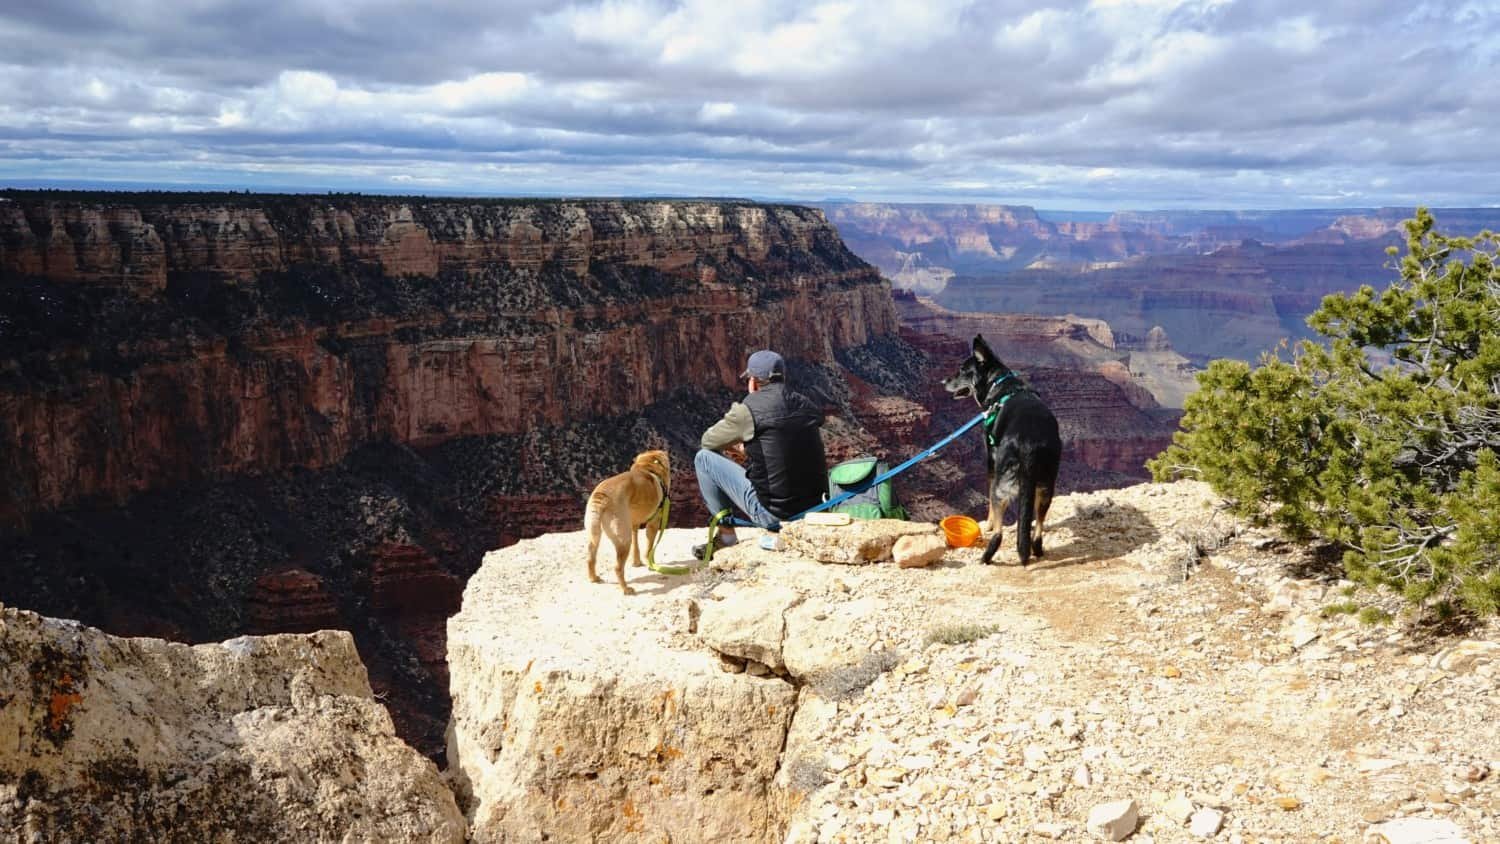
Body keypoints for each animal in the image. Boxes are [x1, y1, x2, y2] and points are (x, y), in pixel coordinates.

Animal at [582, 449, 672, 593]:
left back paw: (594, 578)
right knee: (618, 568)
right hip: (623, 539)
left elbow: (636, 544)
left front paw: (637, 562)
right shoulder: (654, 523)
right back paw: (626, 589)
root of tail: (602, 495)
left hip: (594, 532)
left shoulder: (633, 524)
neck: (649, 468)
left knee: (590, 557)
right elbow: (649, 547)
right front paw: (650, 563)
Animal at [942, 337, 1062, 566]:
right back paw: (1037, 549)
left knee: (999, 530)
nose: (943, 381)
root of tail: (1030, 442)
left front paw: (987, 523)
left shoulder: (991, 457)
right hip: (1046, 483)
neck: (999, 384)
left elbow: (988, 498)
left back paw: (986, 557)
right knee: (1039, 525)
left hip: (1003, 481)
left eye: (962, 370)